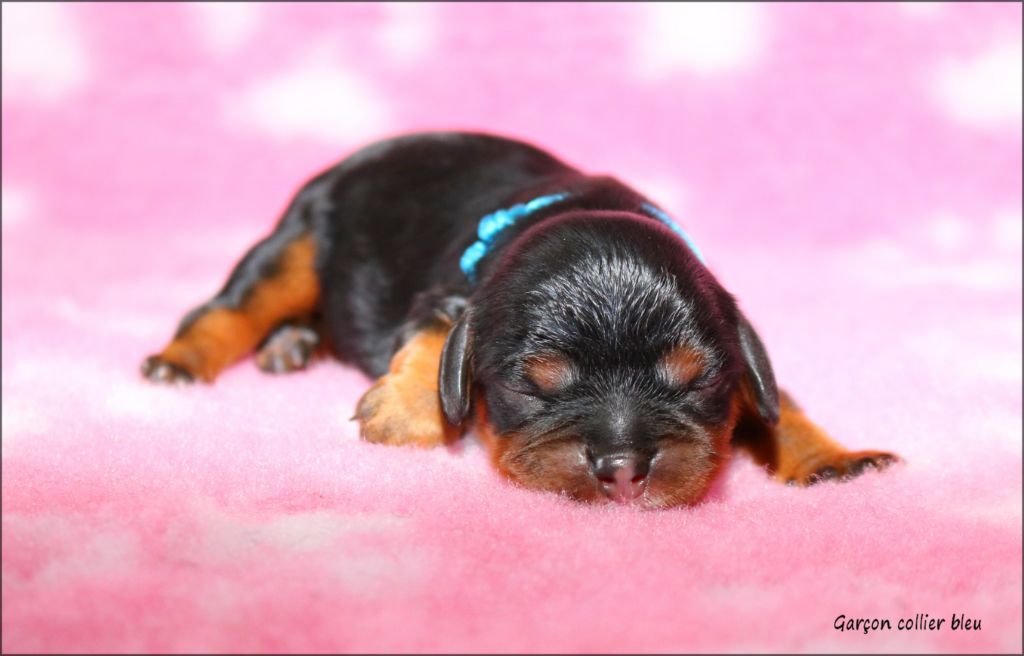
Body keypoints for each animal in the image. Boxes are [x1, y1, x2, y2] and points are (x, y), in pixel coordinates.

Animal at [141, 131, 898, 508]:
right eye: (534, 387)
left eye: (694, 383)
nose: (624, 471)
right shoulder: (451, 296)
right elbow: (435, 337)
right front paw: (408, 410)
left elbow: (776, 401)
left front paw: (830, 460)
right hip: (300, 235)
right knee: (233, 304)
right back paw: (184, 359)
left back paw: (293, 342)